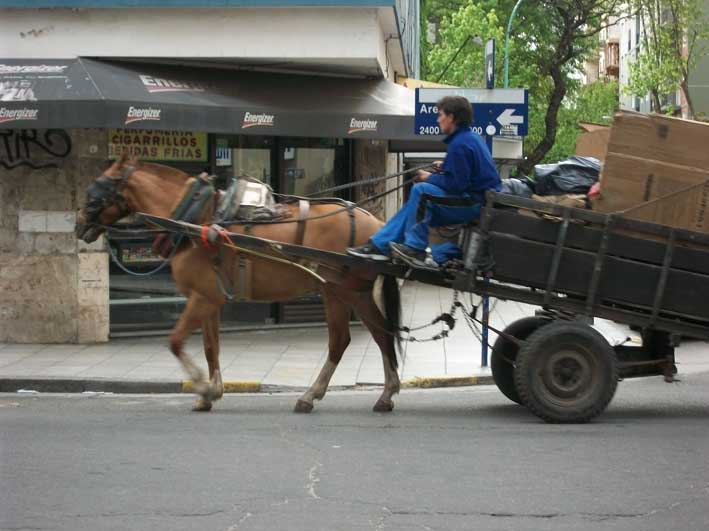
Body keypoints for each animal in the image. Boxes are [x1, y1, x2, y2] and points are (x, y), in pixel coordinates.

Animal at [76, 154, 404, 412]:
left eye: (97, 188)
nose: (78, 224)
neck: (195, 220)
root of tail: (375, 224)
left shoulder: (202, 298)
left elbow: (176, 341)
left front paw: (202, 386)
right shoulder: (209, 298)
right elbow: (211, 346)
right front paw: (211, 393)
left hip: (341, 291)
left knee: (350, 339)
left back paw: (316, 395)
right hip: (348, 292)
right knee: (377, 334)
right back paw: (383, 394)